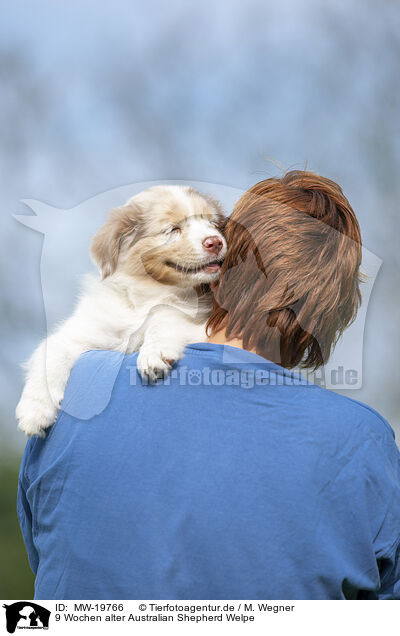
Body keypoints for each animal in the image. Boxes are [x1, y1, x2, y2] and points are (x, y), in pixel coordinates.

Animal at [16, 184, 225, 438]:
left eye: (213, 225)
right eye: (173, 229)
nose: (216, 242)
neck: (149, 294)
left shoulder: (199, 324)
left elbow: (166, 315)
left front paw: (153, 354)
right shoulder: (83, 330)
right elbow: (50, 352)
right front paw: (34, 413)